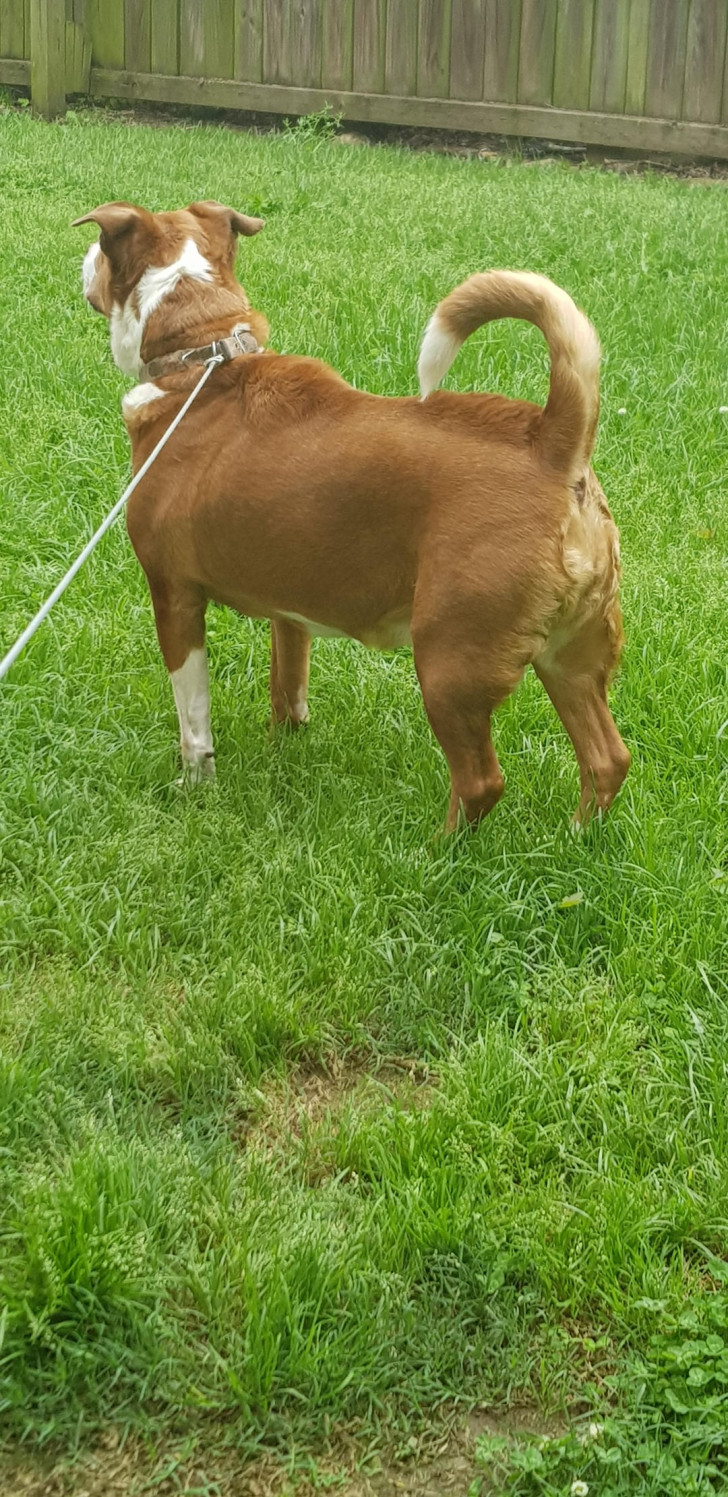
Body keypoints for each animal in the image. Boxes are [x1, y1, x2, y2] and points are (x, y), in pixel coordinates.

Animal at [76, 196, 629, 832]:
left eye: (102, 249)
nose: (83, 259)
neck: (203, 359)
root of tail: (554, 445)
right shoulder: (288, 611)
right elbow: (287, 689)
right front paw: (284, 754)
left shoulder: (173, 596)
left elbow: (195, 720)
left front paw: (196, 787)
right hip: (571, 659)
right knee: (606, 759)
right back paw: (577, 837)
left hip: (450, 664)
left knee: (480, 783)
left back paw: (438, 850)